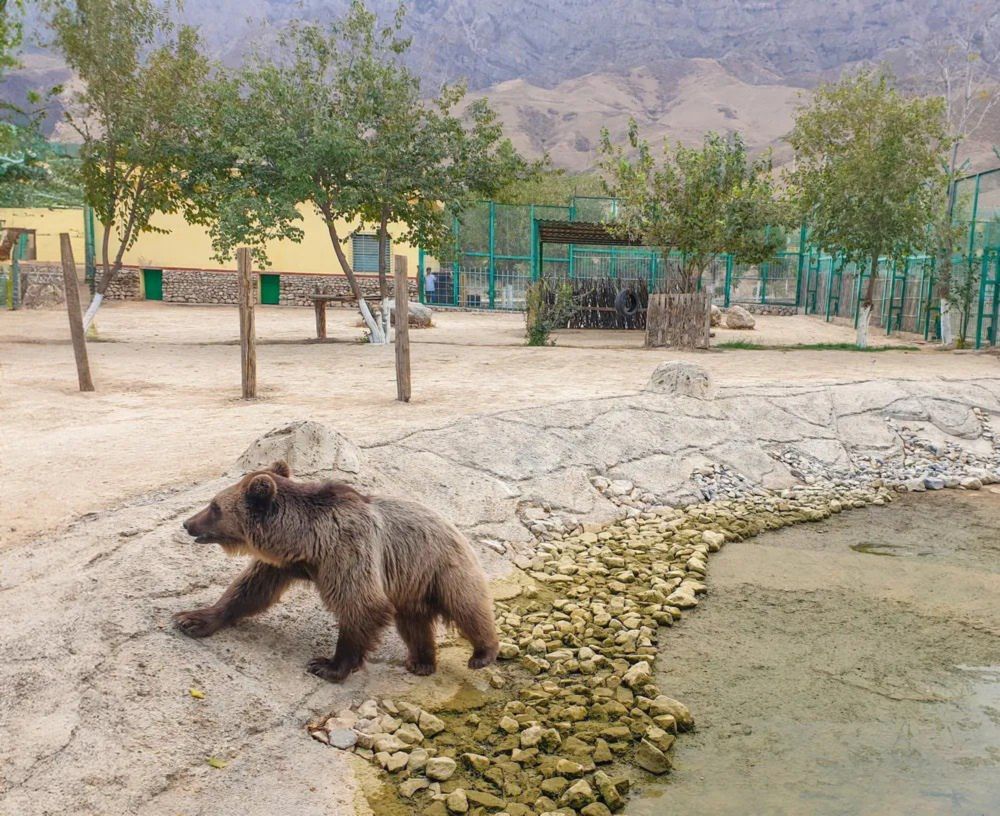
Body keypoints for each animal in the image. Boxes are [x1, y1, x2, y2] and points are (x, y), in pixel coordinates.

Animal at [176, 466, 500, 684]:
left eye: (214, 507)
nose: (187, 523)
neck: (305, 541)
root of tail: (454, 525)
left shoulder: (347, 551)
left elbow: (362, 605)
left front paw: (328, 665)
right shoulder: (285, 564)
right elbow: (250, 590)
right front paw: (193, 619)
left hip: (441, 567)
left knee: (467, 607)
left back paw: (482, 653)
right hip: (410, 585)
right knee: (412, 623)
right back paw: (421, 662)